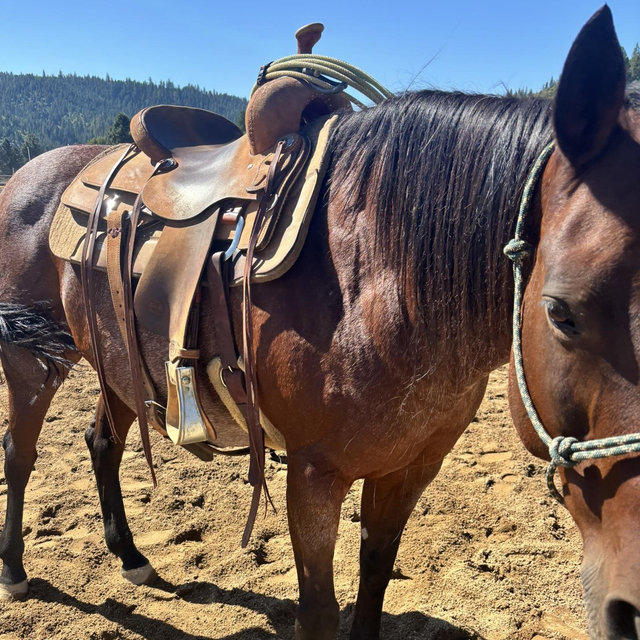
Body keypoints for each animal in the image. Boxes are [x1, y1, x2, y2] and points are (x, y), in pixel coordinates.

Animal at [0, 6, 638, 639]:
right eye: (560, 313)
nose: (627, 605)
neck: (381, 276)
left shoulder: (411, 466)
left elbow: (375, 577)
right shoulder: (313, 475)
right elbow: (319, 610)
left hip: (116, 364)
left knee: (102, 441)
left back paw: (132, 557)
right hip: (33, 362)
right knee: (19, 451)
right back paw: (14, 571)